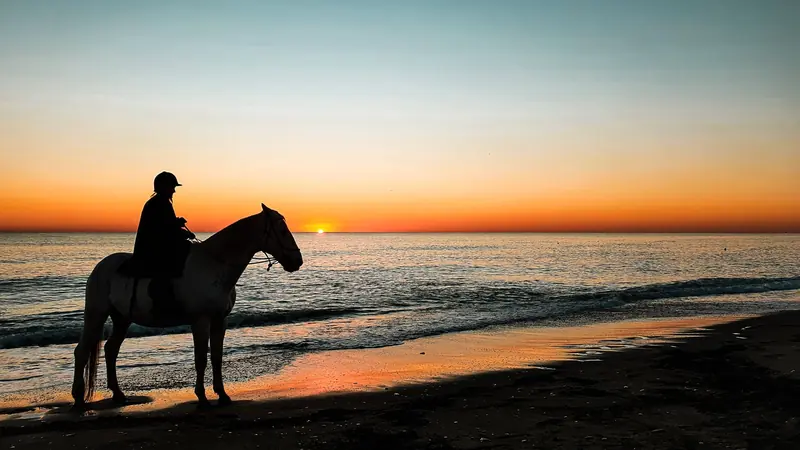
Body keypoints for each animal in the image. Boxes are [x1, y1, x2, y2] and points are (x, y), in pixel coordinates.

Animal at [71, 203, 303, 408]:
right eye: (282, 230)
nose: (297, 260)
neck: (214, 265)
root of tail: (100, 267)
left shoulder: (220, 320)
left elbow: (216, 357)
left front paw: (222, 394)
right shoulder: (200, 321)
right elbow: (200, 358)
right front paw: (202, 397)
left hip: (122, 319)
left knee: (111, 350)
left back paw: (118, 395)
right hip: (96, 313)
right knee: (81, 351)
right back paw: (78, 397)